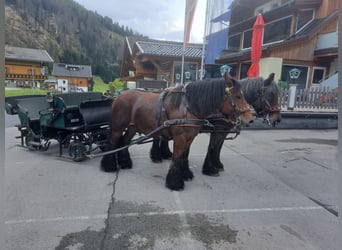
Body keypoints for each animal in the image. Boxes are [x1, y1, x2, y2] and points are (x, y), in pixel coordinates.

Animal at [100, 76, 255, 189]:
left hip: (132, 127)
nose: (250, 118)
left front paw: (186, 174)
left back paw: (125, 163)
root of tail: (119, 96)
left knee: (125, 141)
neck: (188, 107)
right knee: (112, 143)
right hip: (118, 127)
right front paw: (175, 182)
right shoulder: (180, 137)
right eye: (238, 96)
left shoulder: (190, 137)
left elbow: (184, 156)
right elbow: (177, 157)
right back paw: (109, 166)